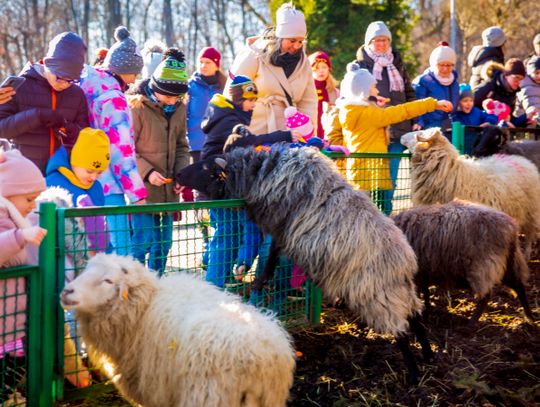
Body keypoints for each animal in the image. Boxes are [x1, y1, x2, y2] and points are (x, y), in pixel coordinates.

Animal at [177, 146, 434, 386]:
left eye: (205, 168)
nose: (177, 174)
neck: (261, 171)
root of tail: (404, 262)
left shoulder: (281, 226)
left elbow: (273, 252)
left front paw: (260, 281)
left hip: (375, 294)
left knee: (401, 330)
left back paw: (413, 373)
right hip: (397, 291)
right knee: (415, 316)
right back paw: (428, 354)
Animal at [402, 127, 540, 260]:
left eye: (420, 133)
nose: (402, 136)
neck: (450, 173)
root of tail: (523, 161)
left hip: (531, 212)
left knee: (530, 235)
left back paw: (527, 254)